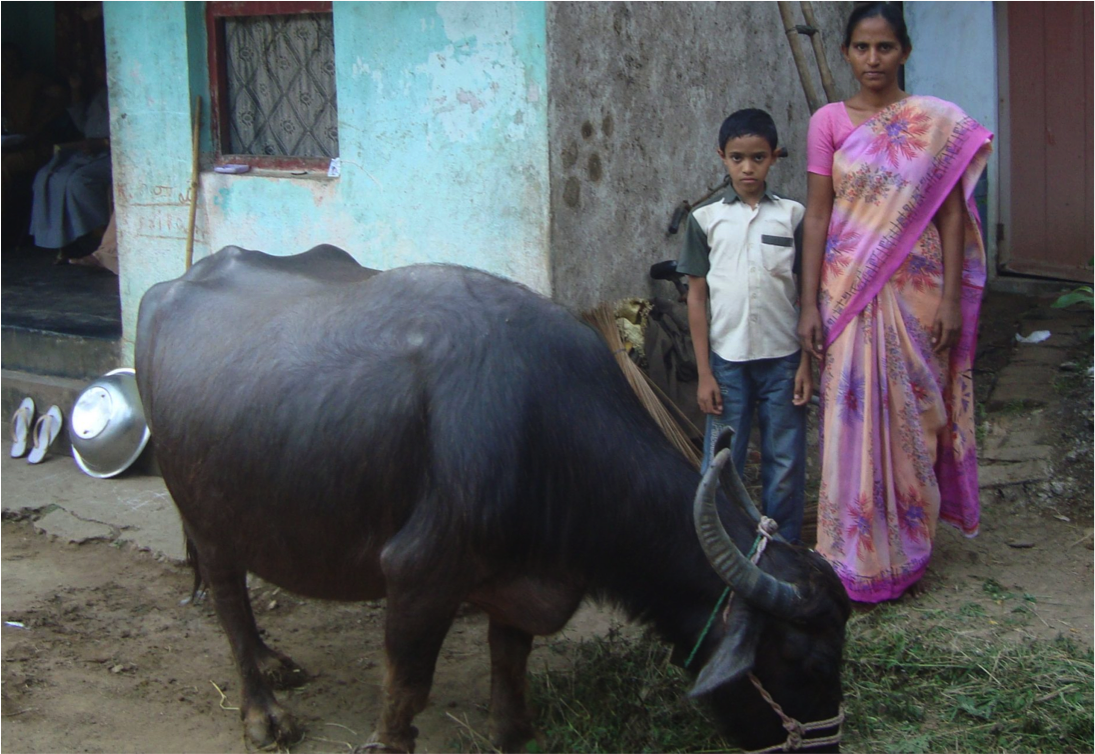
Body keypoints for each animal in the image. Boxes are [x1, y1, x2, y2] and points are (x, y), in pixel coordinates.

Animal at [136, 244, 849, 748]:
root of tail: (168, 289)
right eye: (807, 660)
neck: (545, 428)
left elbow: (510, 667)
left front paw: (516, 735)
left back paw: (271, 660)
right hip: (204, 515)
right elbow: (406, 690)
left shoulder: (521, 576)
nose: (826, 746)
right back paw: (264, 713)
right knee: (228, 598)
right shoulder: (419, 574)